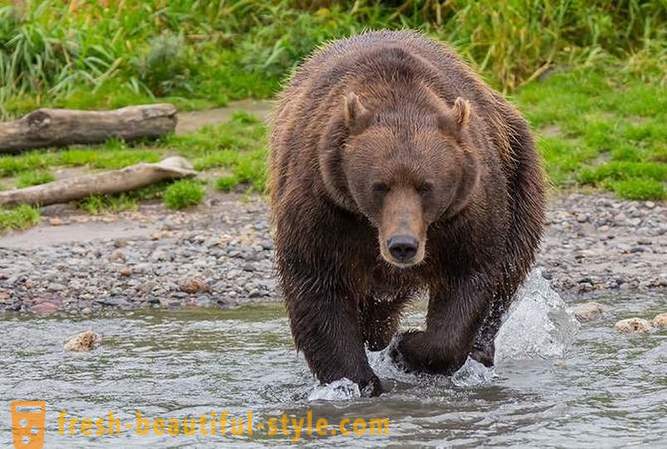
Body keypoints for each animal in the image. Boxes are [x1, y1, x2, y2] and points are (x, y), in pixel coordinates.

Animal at [268, 30, 544, 396]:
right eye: (379, 185)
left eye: (426, 186)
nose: (403, 245)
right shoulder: (324, 204)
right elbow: (317, 284)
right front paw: (355, 381)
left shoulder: (465, 211)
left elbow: (470, 278)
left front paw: (405, 349)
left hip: (518, 172)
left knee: (509, 271)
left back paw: (478, 350)